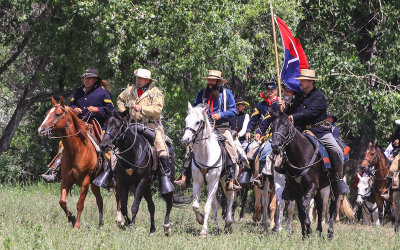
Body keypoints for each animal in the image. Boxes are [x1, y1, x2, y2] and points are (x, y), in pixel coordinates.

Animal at [37, 96, 122, 229]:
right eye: (47, 113)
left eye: (57, 114)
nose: (41, 130)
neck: (76, 150)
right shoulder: (67, 180)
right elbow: (62, 201)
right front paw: (71, 218)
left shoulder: (85, 181)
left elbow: (80, 203)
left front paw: (76, 225)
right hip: (94, 184)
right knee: (100, 201)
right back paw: (100, 225)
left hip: (116, 180)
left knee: (118, 196)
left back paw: (119, 220)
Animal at [180, 102, 234, 237]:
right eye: (186, 120)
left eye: (198, 122)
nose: (185, 140)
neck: (205, 154)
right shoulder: (197, 182)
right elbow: (195, 206)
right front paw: (200, 220)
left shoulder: (213, 182)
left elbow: (207, 206)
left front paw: (204, 230)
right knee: (215, 204)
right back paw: (215, 226)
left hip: (227, 181)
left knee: (230, 197)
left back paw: (228, 222)